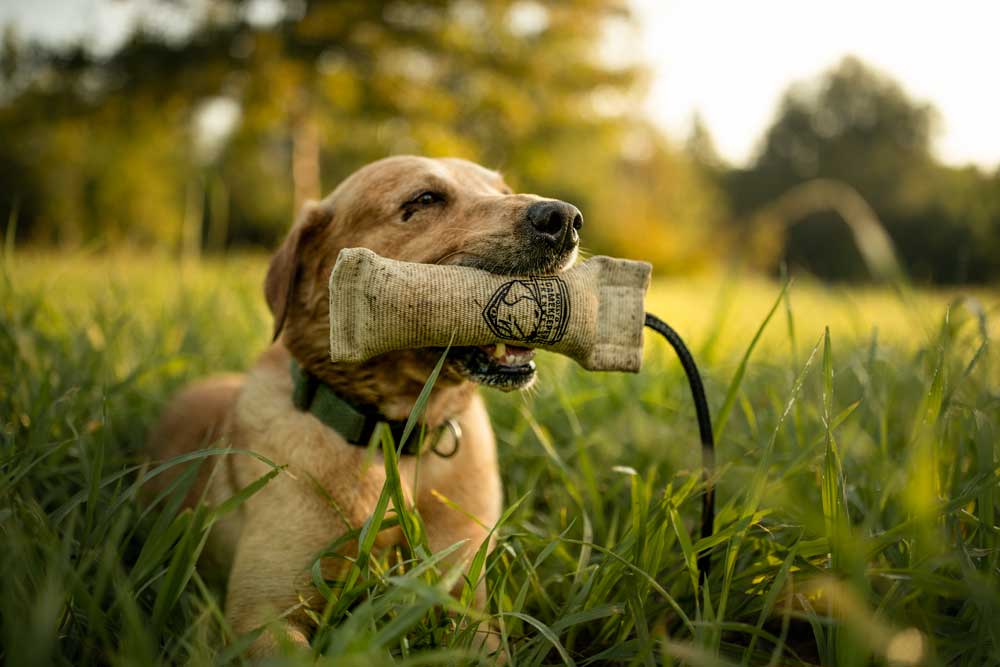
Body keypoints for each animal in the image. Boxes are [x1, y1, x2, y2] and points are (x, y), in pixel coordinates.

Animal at [149, 157, 584, 656]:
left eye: (504, 191)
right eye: (425, 199)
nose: (566, 218)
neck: (396, 439)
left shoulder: (465, 597)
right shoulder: (260, 615)